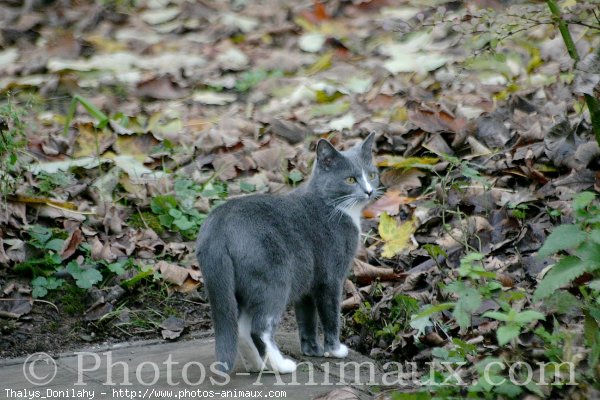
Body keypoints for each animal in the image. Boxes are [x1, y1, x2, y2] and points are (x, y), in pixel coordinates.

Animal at [197, 133, 380, 374]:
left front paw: (312, 350)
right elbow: (330, 315)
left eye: (372, 175)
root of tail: (218, 224)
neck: (338, 209)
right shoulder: (330, 277)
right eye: (350, 179)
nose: (369, 191)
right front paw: (336, 350)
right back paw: (282, 366)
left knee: (242, 327)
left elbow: (307, 318)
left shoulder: (308, 282)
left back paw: (258, 366)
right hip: (273, 279)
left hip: (243, 285)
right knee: (259, 328)